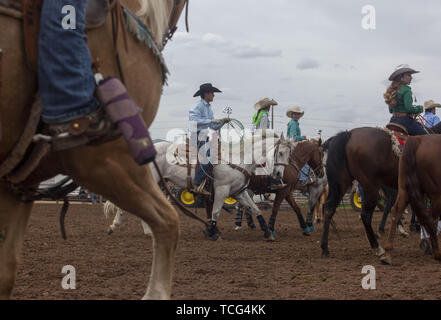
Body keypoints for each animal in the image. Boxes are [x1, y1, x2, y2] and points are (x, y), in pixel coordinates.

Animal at [380, 136, 441, 264]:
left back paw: (387, 253)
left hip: (404, 190)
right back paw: (436, 252)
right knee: (432, 219)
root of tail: (417, 139)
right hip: (436, 195)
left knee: (396, 211)